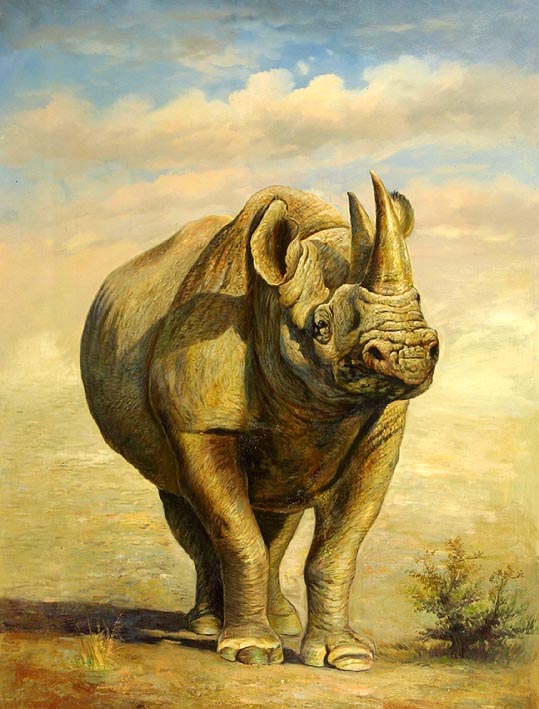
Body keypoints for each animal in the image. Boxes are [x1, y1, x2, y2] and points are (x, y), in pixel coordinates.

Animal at [81, 172, 438, 671]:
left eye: (420, 305)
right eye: (320, 328)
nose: (411, 353)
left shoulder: (380, 434)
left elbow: (339, 547)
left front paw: (346, 656)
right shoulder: (201, 423)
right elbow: (236, 534)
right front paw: (250, 652)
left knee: (279, 513)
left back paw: (280, 622)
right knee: (185, 505)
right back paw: (209, 627)